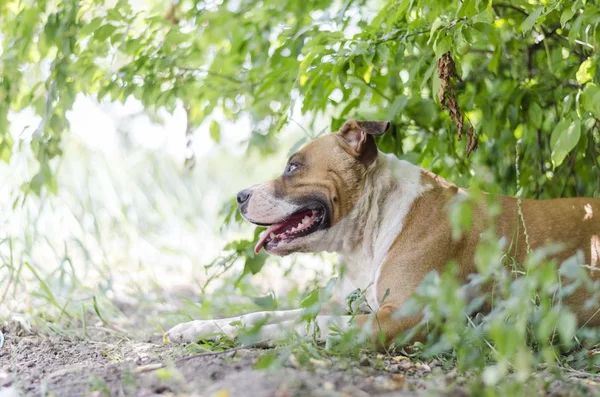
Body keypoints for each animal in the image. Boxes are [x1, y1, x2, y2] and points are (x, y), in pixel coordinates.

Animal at [164, 119, 600, 344]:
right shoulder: (345, 303)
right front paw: (197, 327)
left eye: (293, 166)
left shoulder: (408, 316)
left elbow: (303, 325)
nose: (240, 196)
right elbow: (265, 313)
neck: (367, 232)